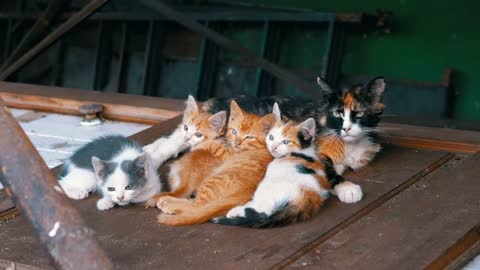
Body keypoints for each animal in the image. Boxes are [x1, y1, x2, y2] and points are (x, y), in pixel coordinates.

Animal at [213, 103, 360, 228]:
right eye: (271, 137)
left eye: (286, 142)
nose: (273, 147)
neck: (301, 151)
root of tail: (304, 202)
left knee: (262, 210)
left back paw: (235, 211)